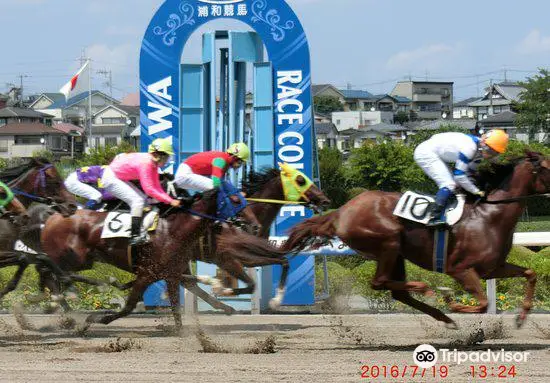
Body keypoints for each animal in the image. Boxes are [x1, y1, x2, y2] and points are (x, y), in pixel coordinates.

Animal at [284, 153, 550, 330]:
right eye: (547, 166)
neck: (489, 216)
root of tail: (341, 212)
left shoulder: (493, 268)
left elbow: (530, 273)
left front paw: (521, 317)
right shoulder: (460, 269)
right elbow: (483, 303)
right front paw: (451, 302)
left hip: (397, 254)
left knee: (396, 292)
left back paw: (444, 317)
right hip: (388, 242)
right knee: (380, 283)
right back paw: (430, 291)